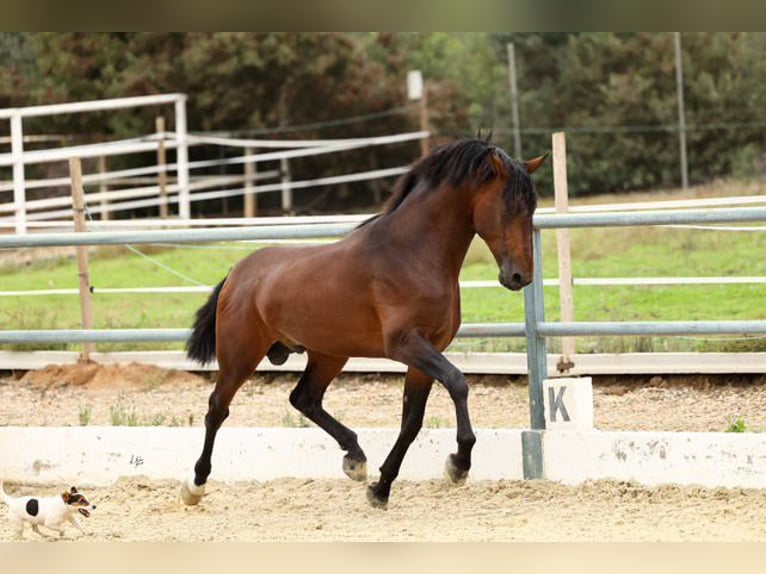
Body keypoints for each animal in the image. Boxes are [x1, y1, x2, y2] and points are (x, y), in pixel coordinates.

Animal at [180, 138, 544, 508]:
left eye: (532, 208)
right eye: (510, 206)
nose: (519, 277)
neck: (411, 255)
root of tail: (237, 273)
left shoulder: (426, 354)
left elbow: (411, 422)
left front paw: (380, 489)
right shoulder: (405, 345)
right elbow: (457, 383)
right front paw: (458, 465)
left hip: (329, 354)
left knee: (304, 399)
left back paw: (355, 458)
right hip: (241, 356)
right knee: (217, 409)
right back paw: (195, 485)